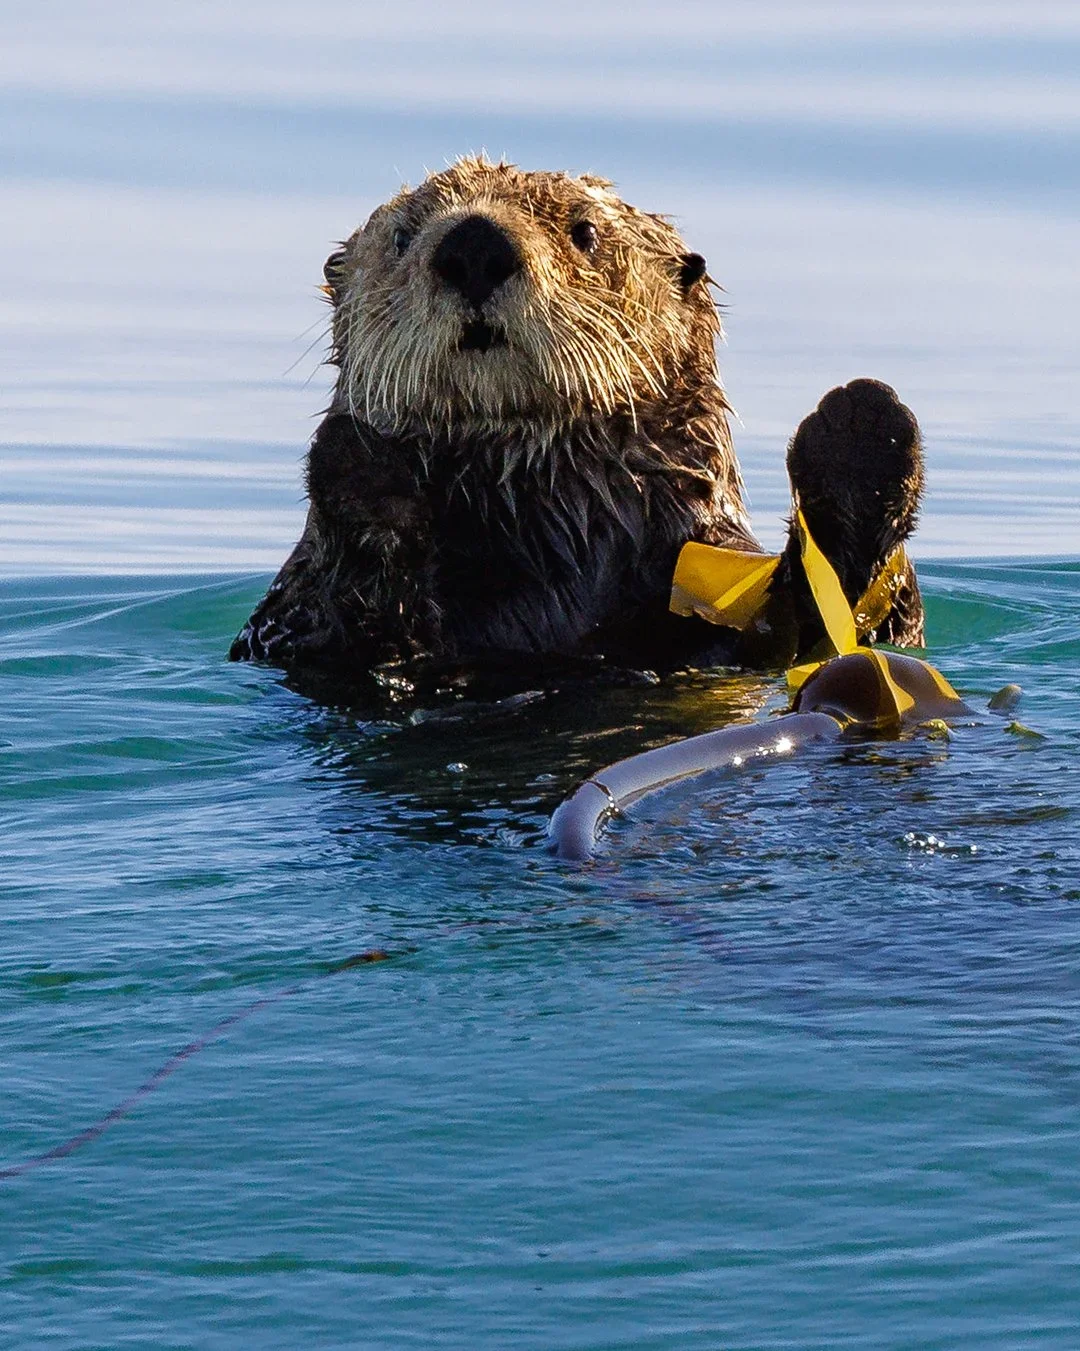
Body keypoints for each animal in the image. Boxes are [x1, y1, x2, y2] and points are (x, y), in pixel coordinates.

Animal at [230, 157, 924, 696]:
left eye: (583, 231)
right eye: (401, 238)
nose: (474, 245)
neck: (553, 533)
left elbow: (837, 630)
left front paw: (860, 431)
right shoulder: (296, 621)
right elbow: (342, 633)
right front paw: (358, 454)